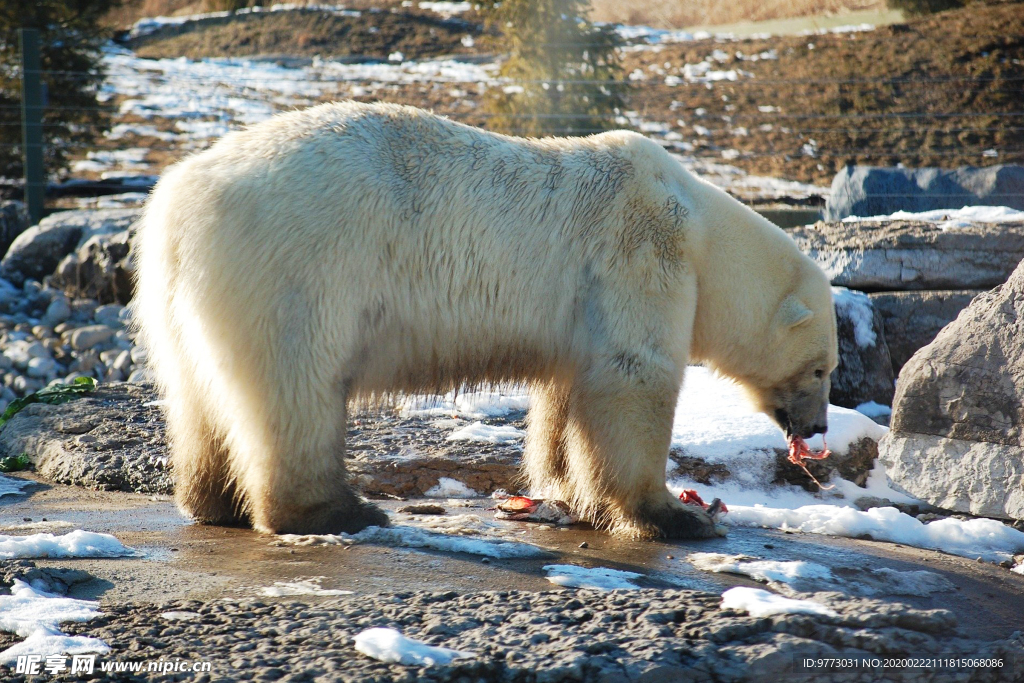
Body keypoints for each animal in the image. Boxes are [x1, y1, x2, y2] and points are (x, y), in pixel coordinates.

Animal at [132, 101, 835, 540]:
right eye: (823, 368)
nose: (818, 428)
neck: (701, 230)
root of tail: (178, 205)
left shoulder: (585, 307)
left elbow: (567, 395)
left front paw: (563, 489)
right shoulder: (639, 254)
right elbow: (632, 376)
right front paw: (674, 516)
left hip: (176, 299)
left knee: (198, 396)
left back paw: (212, 502)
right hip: (296, 265)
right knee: (295, 386)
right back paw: (338, 511)